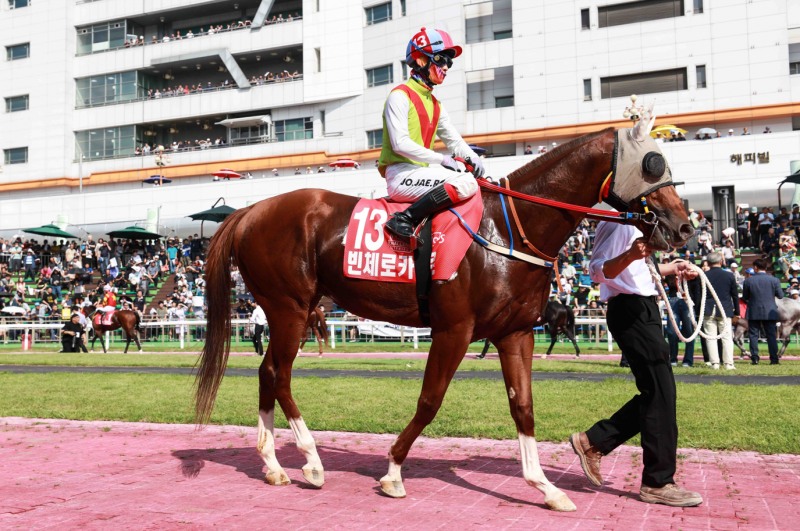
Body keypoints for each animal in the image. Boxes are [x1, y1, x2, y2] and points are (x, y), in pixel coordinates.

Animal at [194, 114, 693, 511]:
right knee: (279, 375)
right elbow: (430, 400)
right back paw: (312, 461)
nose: (683, 226)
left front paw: (546, 488)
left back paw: (274, 465)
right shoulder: (454, 329)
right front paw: (393, 472)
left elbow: (524, 407)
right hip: (290, 308)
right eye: (652, 164)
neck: (510, 229)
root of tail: (251, 210)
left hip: (287, 312)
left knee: (266, 371)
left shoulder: (516, 333)